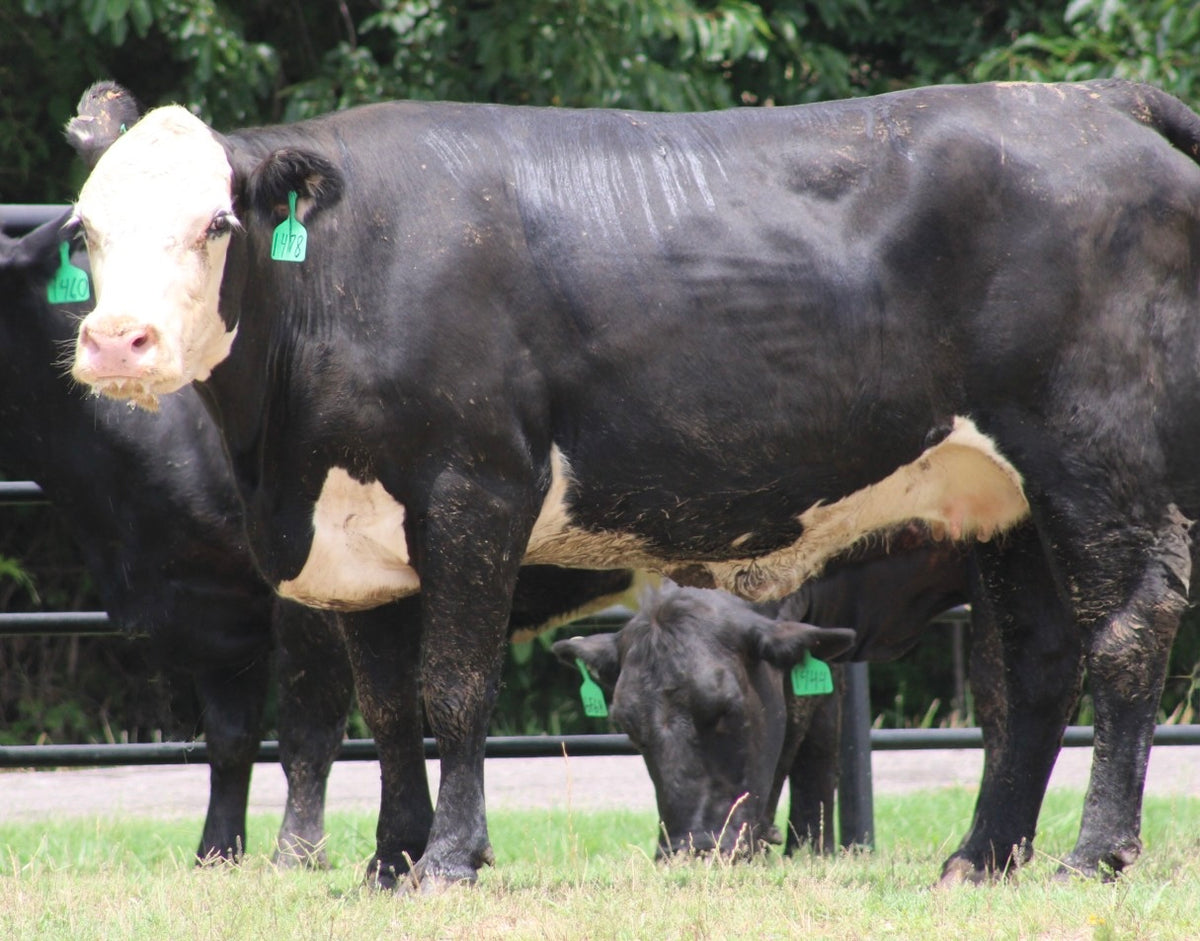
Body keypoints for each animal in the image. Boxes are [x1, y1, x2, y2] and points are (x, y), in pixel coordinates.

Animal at [65, 78, 1200, 889]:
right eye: (83, 230)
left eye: (217, 224)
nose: (119, 340)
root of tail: (1092, 98)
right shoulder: (358, 538)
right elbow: (385, 707)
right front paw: (389, 858)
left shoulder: (476, 489)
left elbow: (453, 686)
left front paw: (449, 859)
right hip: (1004, 497)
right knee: (1038, 661)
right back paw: (981, 856)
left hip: (1091, 454)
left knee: (1129, 625)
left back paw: (1093, 850)